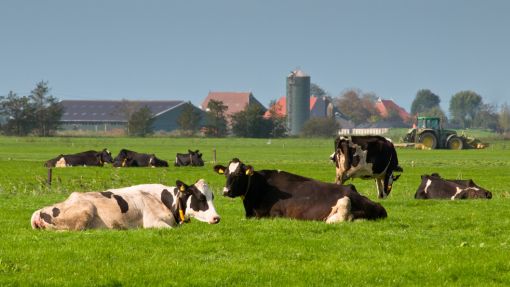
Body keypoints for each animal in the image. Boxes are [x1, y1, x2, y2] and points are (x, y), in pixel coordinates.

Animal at [31, 180, 219, 232]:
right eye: (200, 198)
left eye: (212, 197)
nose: (217, 218)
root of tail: (38, 212)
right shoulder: (152, 223)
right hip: (85, 212)